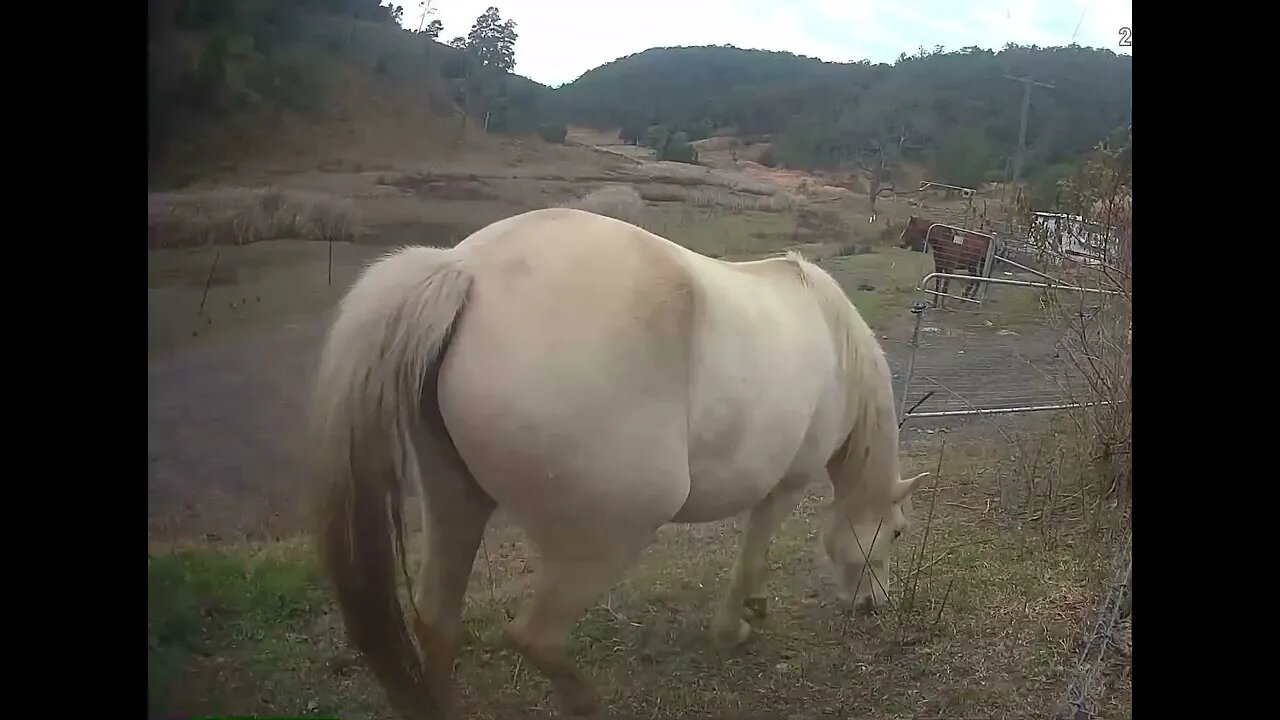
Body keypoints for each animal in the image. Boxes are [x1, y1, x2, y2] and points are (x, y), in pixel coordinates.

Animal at [309, 207, 931, 717]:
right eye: (899, 532)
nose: (873, 606)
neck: (832, 339)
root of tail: (465, 270)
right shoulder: (785, 486)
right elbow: (752, 556)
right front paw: (737, 626)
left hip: (455, 500)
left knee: (437, 621)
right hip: (611, 533)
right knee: (535, 637)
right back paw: (584, 702)